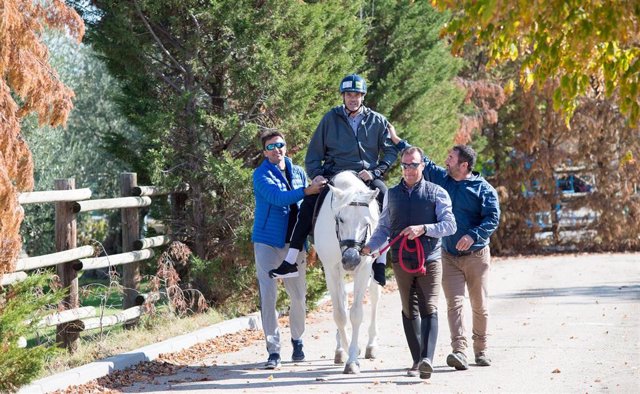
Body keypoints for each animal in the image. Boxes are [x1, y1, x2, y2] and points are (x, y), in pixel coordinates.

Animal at [314, 171, 382, 374]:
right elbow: (339, 314)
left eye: (366, 223)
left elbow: (356, 314)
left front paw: (353, 360)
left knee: (375, 295)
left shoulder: (364, 267)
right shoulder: (331, 269)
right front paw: (346, 349)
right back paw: (340, 349)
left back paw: (371, 345)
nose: (351, 259)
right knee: (343, 299)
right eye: (341, 219)